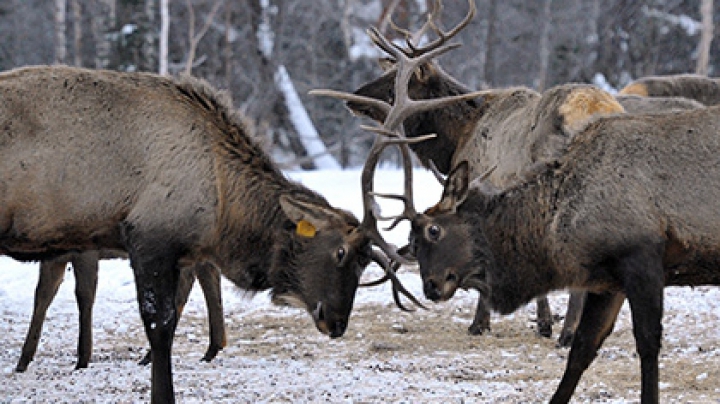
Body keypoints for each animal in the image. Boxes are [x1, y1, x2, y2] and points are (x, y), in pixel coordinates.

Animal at [16, 252, 225, 372]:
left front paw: (82, 359)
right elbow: (42, 295)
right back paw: (212, 348)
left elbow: (84, 295)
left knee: (190, 281)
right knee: (207, 272)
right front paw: (23, 360)